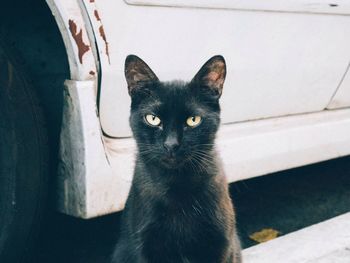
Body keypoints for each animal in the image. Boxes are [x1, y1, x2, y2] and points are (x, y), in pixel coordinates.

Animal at [112, 54, 241, 262]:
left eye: (193, 120)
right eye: (153, 119)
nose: (171, 145)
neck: (177, 185)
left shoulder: (222, 245)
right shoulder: (147, 247)